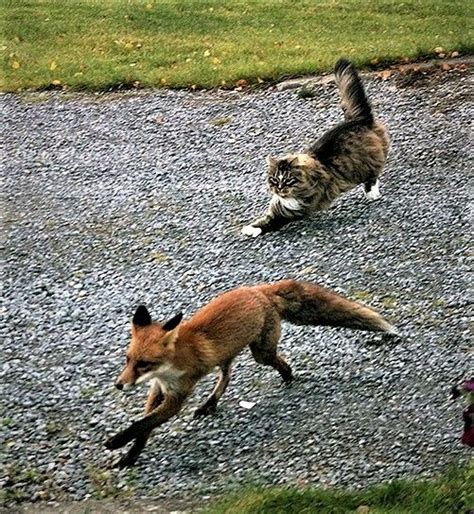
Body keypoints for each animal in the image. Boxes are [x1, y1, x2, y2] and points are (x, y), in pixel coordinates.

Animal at [105, 278, 398, 466]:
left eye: (144, 363)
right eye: (128, 360)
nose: (119, 385)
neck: (169, 369)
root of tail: (259, 289)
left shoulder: (177, 396)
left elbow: (142, 424)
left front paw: (116, 442)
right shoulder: (158, 389)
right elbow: (144, 427)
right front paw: (130, 455)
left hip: (261, 354)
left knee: (279, 363)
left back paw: (288, 378)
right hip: (230, 355)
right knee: (227, 375)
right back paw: (211, 403)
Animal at [243, 58, 390, 236]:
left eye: (288, 180)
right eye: (274, 180)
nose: (279, 189)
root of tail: (359, 119)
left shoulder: (297, 208)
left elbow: (272, 221)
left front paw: (252, 230)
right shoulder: (280, 203)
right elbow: (267, 215)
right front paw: (250, 227)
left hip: (368, 162)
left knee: (373, 175)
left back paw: (372, 193)